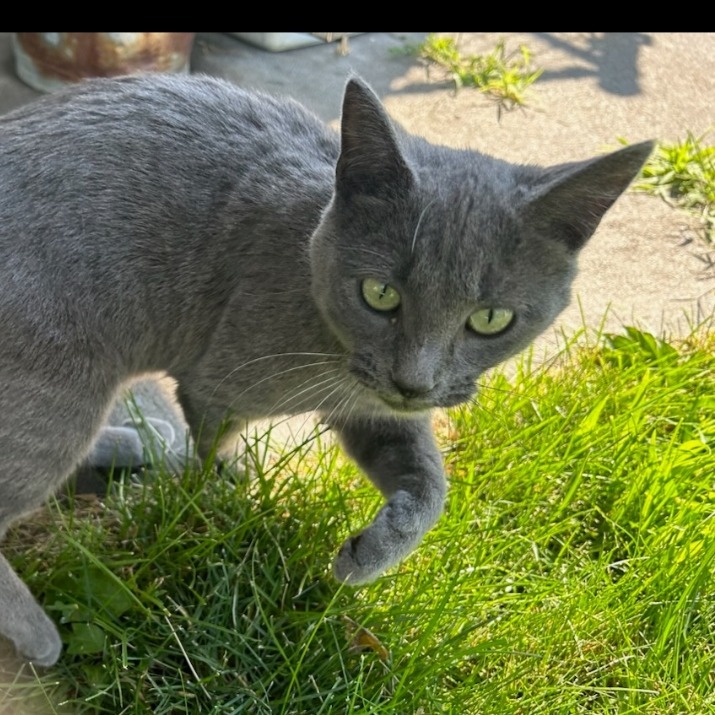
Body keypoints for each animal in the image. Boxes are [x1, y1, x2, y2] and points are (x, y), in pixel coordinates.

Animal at [0, 72, 652, 664]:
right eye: (379, 294)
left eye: (490, 319)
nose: (413, 382)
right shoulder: (219, 385)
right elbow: (213, 447)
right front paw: (215, 493)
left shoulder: (375, 408)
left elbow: (431, 486)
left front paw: (367, 555)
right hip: (65, 387)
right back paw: (42, 635)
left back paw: (139, 443)